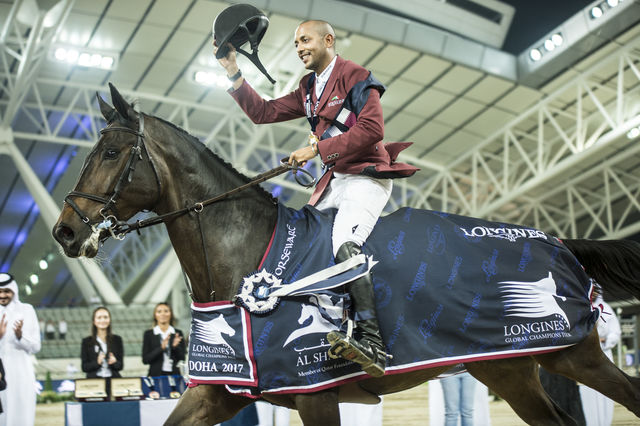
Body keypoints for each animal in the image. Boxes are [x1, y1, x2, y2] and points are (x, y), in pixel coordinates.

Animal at [53, 85, 640, 424]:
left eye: (110, 152)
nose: (64, 231)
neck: (246, 255)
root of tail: (557, 239)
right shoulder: (222, 390)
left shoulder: (315, 391)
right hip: (508, 369)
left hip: (573, 353)